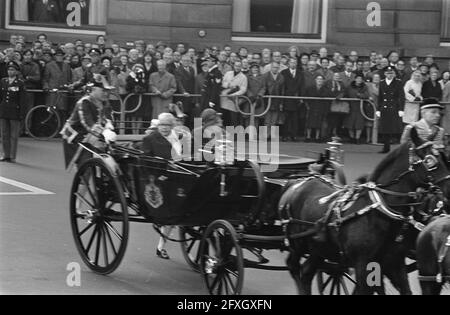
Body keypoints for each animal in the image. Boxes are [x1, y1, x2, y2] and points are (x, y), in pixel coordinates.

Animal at [284, 130, 450, 296]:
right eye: (429, 160)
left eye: (443, 157)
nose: (447, 190)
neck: (379, 212)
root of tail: (298, 182)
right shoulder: (363, 263)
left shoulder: (394, 262)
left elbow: (403, 289)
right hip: (297, 244)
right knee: (293, 266)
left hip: (320, 249)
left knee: (306, 272)